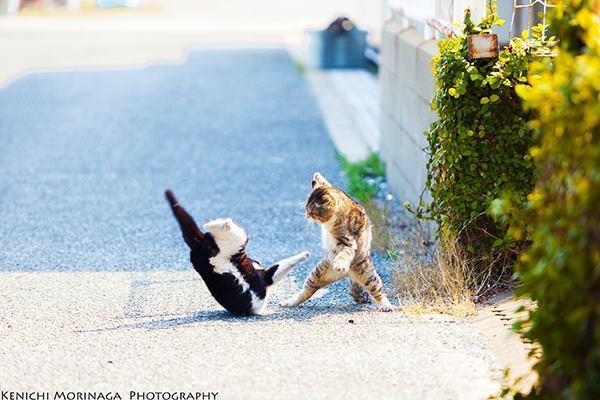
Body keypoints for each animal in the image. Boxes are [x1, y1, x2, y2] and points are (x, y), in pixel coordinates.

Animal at [168, 188, 312, 316]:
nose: (257, 261)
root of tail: (201, 244)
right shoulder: (267, 278)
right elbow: (286, 263)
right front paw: (305, 254)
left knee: (211, 228)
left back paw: (220, 224)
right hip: (237, 241)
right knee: (222, 229)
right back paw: (224, 223)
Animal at [280, 173, 394, 310]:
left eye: (311, 211)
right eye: (306, 208)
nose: (307, 215)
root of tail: (349, 273)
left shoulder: (348, 242)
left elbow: (344, 254)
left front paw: (340, 264)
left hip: (367, 274)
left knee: (377, 290)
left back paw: (386, 305)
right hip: (319, 272)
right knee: (308, 290)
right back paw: (289, 302)